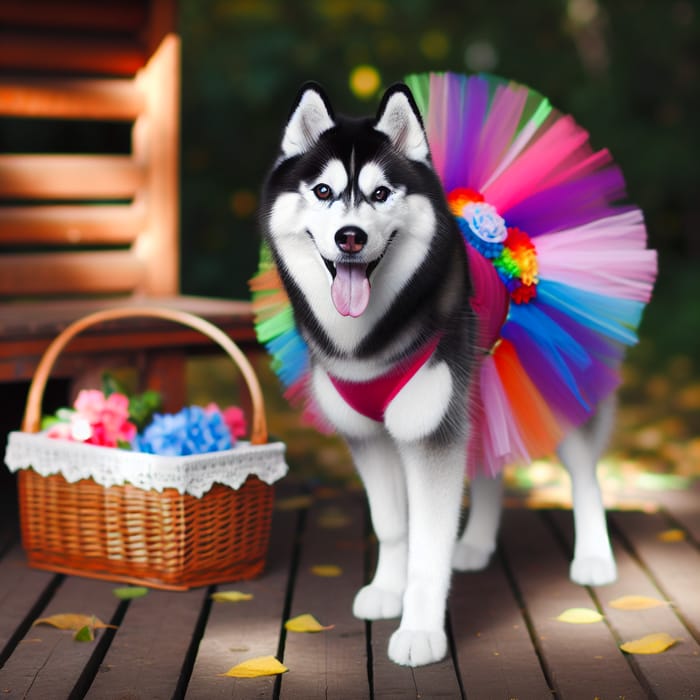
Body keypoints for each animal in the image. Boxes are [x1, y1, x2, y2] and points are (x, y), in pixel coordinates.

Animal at [262, 82, 616, 668]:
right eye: (323, 190)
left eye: (381, 193)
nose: (350, 236)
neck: (370, 342)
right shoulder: (370, 437)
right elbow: (393, 525)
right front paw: (387, 589)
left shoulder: (428, 433)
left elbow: (429, 548)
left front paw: (420, 632)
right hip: (480, 388)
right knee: (493, 460)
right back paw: (475, 544)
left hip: (560, 390)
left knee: (585, 474)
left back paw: (594, 557)